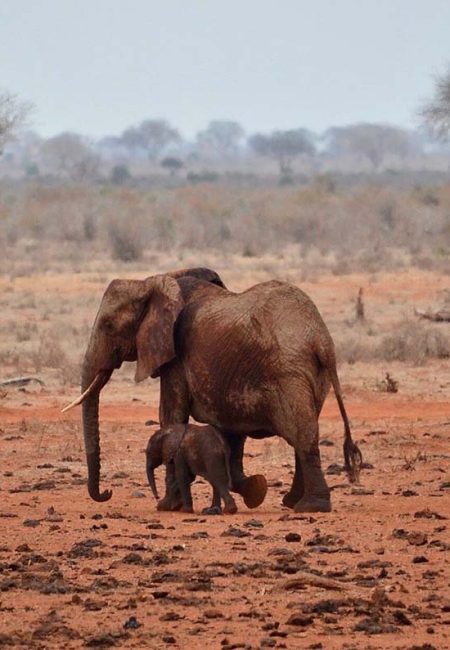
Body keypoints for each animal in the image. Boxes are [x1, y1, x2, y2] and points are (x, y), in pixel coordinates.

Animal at [63, 266, 360, 508]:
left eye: (108, 325)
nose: (107, 493)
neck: (153, 283)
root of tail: (321, 339)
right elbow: (230, 434)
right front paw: (254, 490)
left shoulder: (176, 357)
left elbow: (171, 417)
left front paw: (169, 506)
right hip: (311, 375)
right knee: (304, 431)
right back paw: (291, 501)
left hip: (288, 372)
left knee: (302, 434)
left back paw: (311, 506)